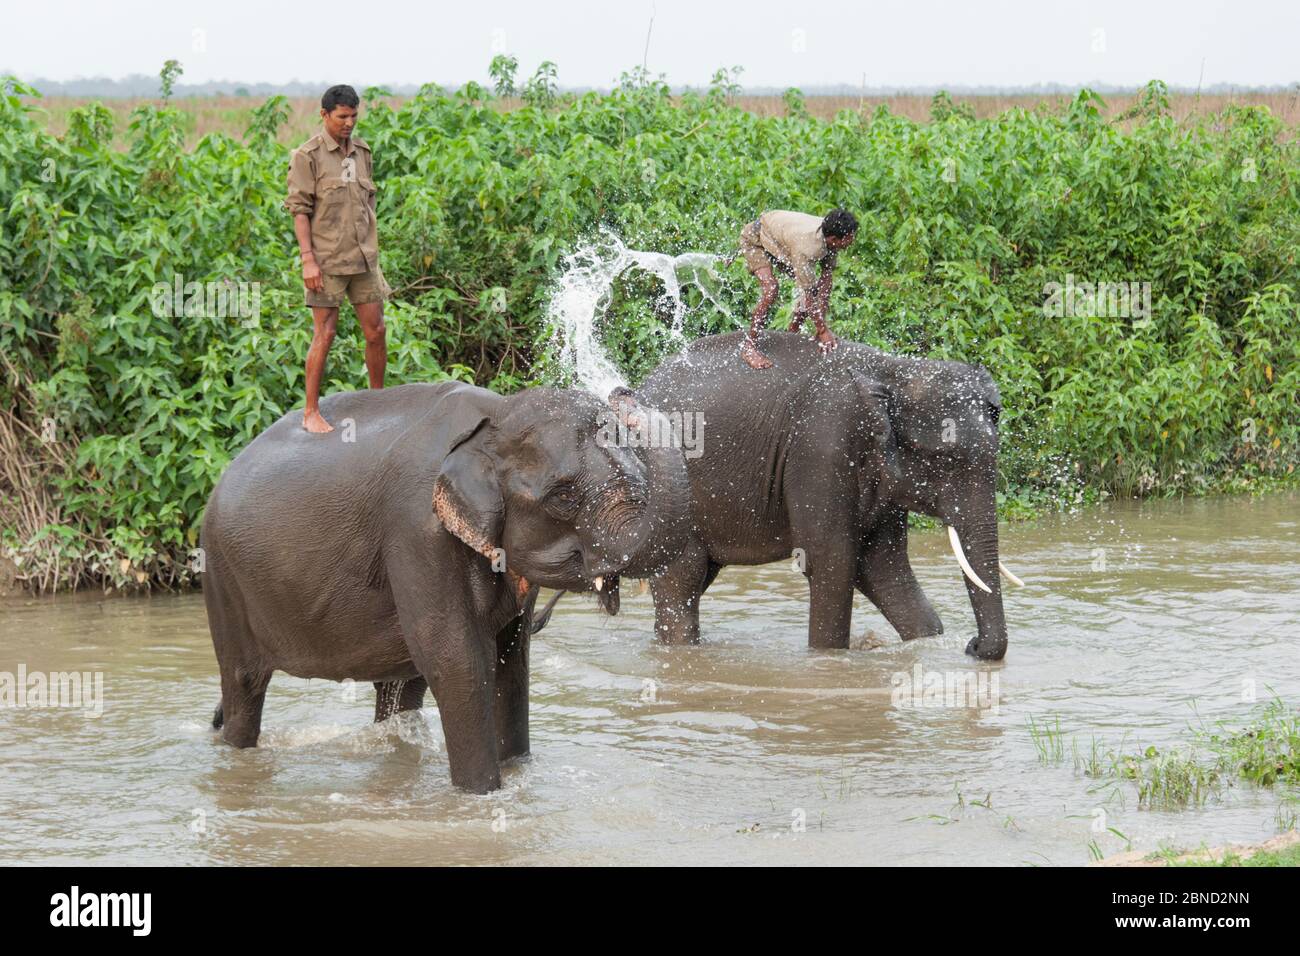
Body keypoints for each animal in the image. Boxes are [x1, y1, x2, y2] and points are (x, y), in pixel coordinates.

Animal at [201, 382, 691, 790]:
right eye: (563, 497)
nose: (623, 394)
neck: (496, 416)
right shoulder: (415, 531)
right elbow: (457, 660)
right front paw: (483, 796)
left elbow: (512, 659)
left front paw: (518, 773)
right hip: (222, 575)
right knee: (244, 682)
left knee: (401, 689)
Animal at [634, 329, 1019, 658]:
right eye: (942, 459)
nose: (972, 645)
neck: (895, 372)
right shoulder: (820, 449)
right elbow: (831, 562)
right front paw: (828, 659)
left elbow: (884, 565)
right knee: (682, 578)